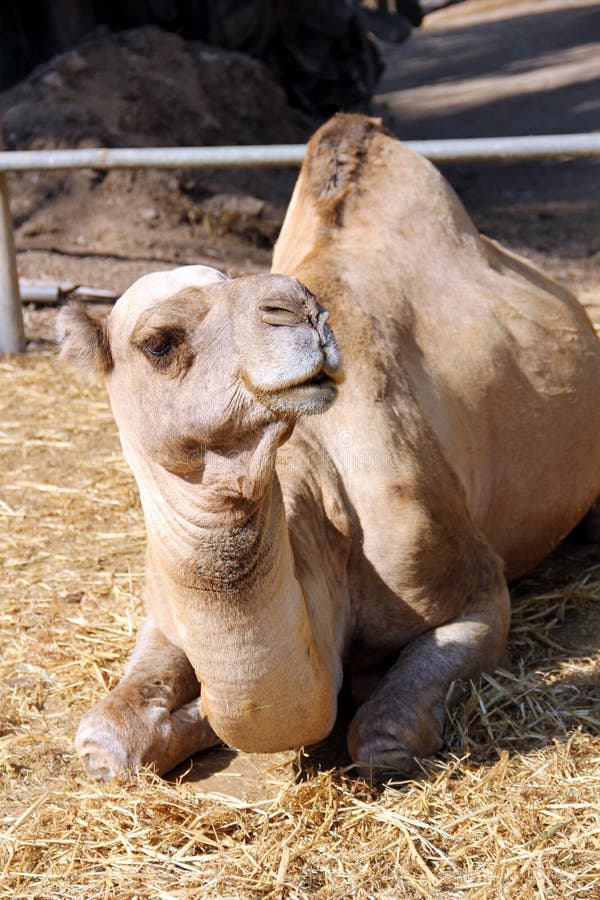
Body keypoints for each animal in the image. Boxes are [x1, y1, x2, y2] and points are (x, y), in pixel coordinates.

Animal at [58, 114, 600, 780]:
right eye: (159, 341)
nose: (300, 308)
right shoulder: (161, 617)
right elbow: (106, 740)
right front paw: (189, 720)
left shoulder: (477, 589)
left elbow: (384, 737)